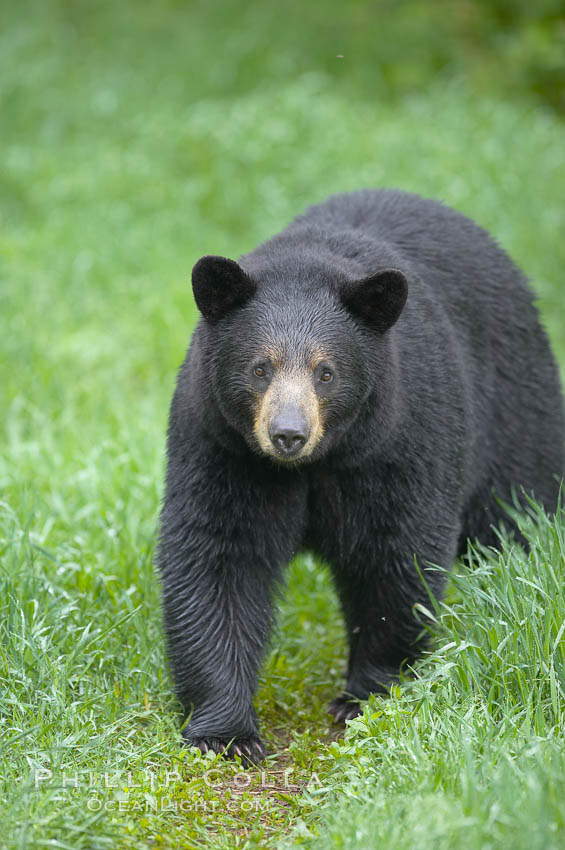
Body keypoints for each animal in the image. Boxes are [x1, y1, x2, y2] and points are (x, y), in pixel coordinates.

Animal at [155, 189, 564, 760]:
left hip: (518, 416)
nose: (288, 434)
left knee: (516, 516)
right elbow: (218, 557)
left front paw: (366, 696)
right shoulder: (222, 447)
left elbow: (393, 554)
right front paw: (225, 731)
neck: (314, 465)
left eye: (326, 372)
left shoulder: (398, 441)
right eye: (260, 367)